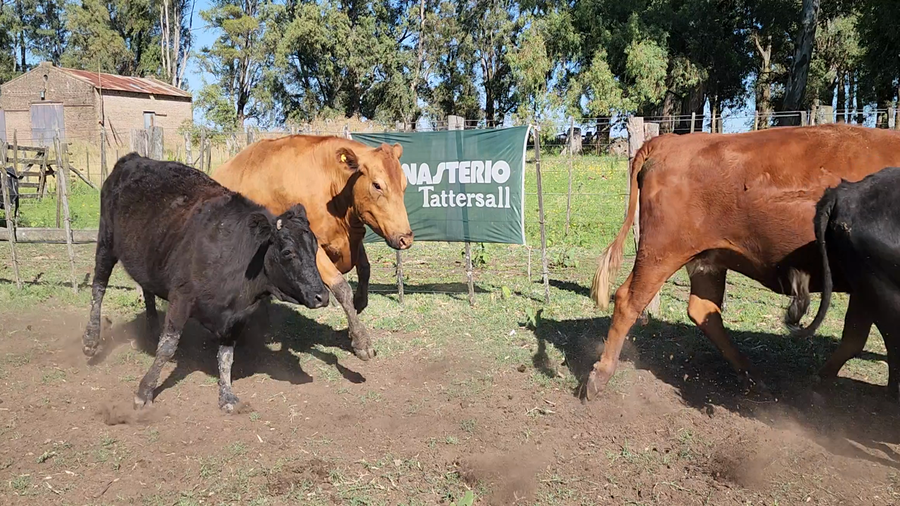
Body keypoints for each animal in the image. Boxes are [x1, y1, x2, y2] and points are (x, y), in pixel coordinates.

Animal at [82, 153, 330, 412]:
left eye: (315, 248)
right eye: (288, 252)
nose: (322, 296)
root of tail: (134, 158)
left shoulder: (238, 317)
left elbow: (227, 356)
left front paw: (227, 395)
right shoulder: (181, 297)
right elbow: (168, 347)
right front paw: (144, 391)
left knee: (146, 289)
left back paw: (151, 329)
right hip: (106, 241)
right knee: (98, 287)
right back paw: (91, 339)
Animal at [212, 135, 413, 361]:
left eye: (404, 184)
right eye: (377, 185)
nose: (406, 238)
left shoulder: (353, 239)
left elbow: (365, 269)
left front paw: (358, 306)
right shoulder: (311, 248)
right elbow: (341, 287)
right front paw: (361, 341)